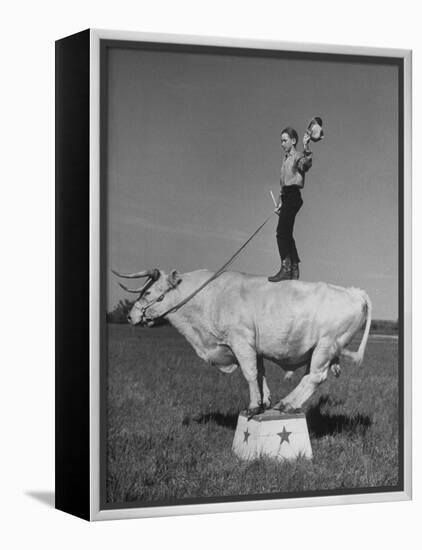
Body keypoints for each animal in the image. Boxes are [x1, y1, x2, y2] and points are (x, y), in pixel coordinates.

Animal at [113, 270, 370, 416]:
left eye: (148, 293)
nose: (129, 316)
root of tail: (355, 292)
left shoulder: (240, 341)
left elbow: (249, 373)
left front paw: (254, 406)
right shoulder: (252, 348)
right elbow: (260, 373)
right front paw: (264, 401)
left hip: (326, 346)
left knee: (315, 377)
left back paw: (287, 404)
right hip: (319, 349)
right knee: (310, 377)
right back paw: (285, 403)